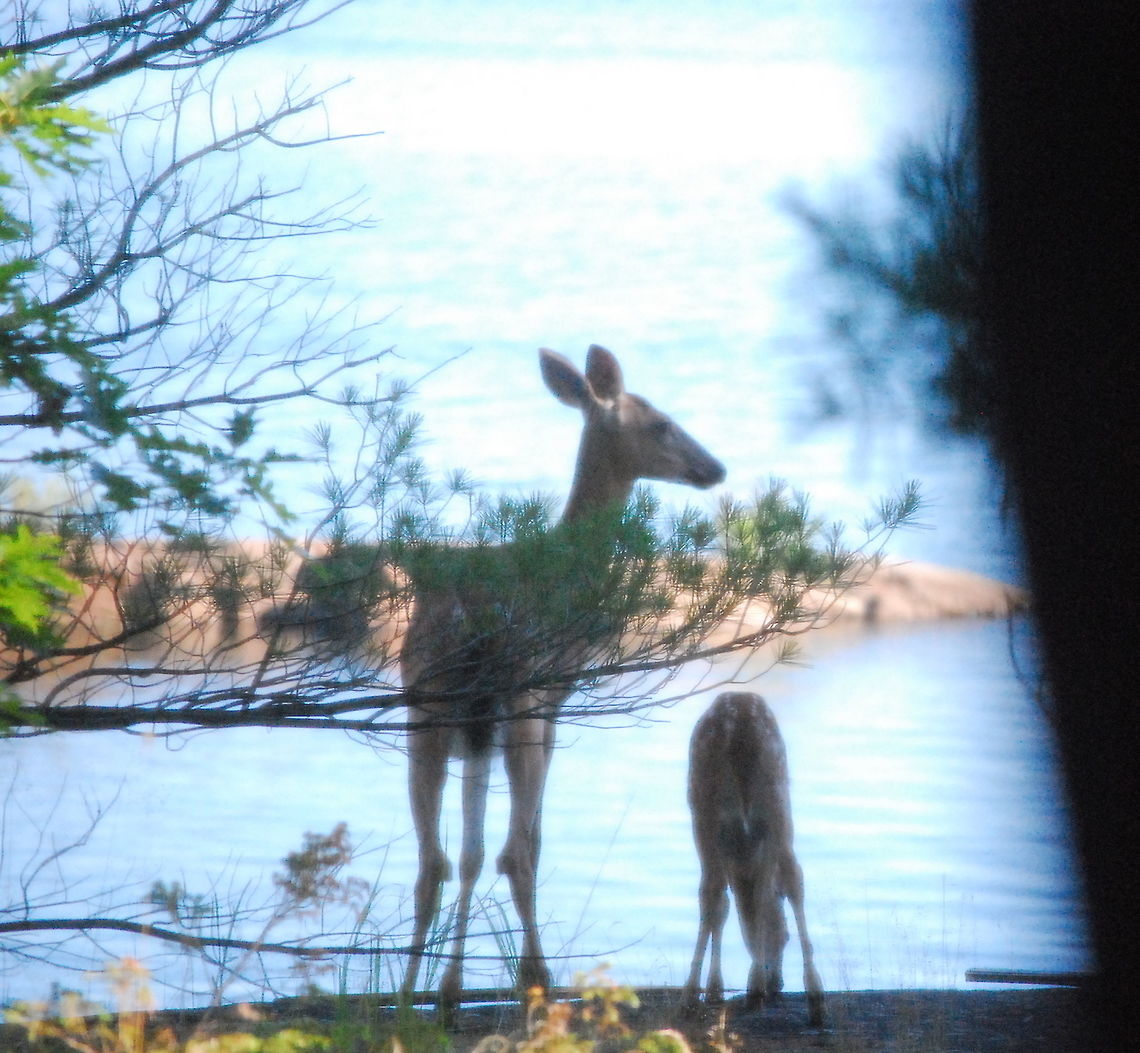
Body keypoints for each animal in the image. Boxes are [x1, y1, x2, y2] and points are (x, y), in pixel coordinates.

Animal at [399, 345, 725, 1013]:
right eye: (662, 424)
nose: (716, 467)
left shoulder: (479, 730)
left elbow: (469, 854)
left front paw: (449, 989)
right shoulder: (550, 701)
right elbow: (524, 844)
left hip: (428, 705)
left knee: (433, 862)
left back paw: (403, 993)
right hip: (515, 699)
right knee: (515, 854)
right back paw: (537, 978)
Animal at [682, 691, 825, 1026]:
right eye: (784, 938)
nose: (778, 985)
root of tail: (742, 721)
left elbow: (721, 906)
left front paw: (713, 991)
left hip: (707, 807)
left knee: (713, 892)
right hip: (775, 797)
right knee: (789, 877)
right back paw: (810, 999)